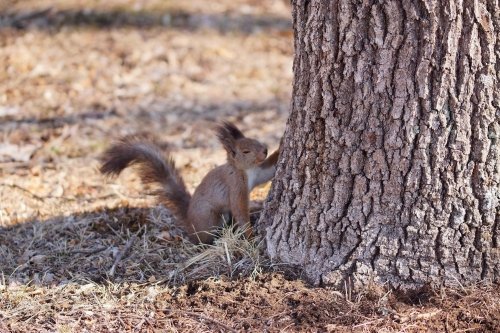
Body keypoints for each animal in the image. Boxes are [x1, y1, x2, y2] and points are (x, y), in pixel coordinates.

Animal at [99, 120, 280, 243]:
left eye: (256, 139)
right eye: (246, 151)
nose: (265, 150)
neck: (246, 170)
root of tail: (189, 221)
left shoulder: (258, 173)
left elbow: (269, 171)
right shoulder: (235, 184)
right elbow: (239, 209)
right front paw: (250, 236)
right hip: (210, 218)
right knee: (203, 237)